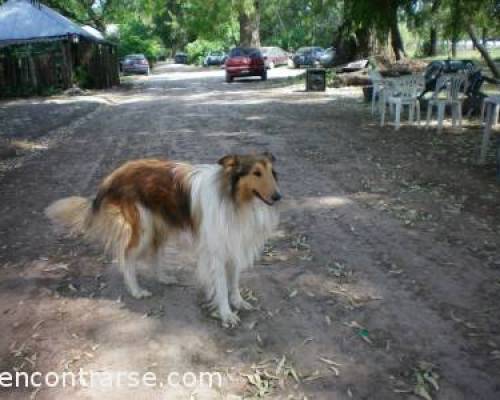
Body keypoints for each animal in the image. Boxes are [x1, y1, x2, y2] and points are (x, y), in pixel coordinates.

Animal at [46, 153, 282, 324]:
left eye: (271, 172)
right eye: (256, 173)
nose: (278, 197)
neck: (234, 199)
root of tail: (114, 174)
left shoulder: (234, 243)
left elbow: (233, 281)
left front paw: (239, 302)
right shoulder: (216, 250)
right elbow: (222, 286)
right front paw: (226, 313)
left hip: (160, 224)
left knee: (155, 252)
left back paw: (163, 277)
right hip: (142, 228)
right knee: (126, 257)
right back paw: (136, 290)